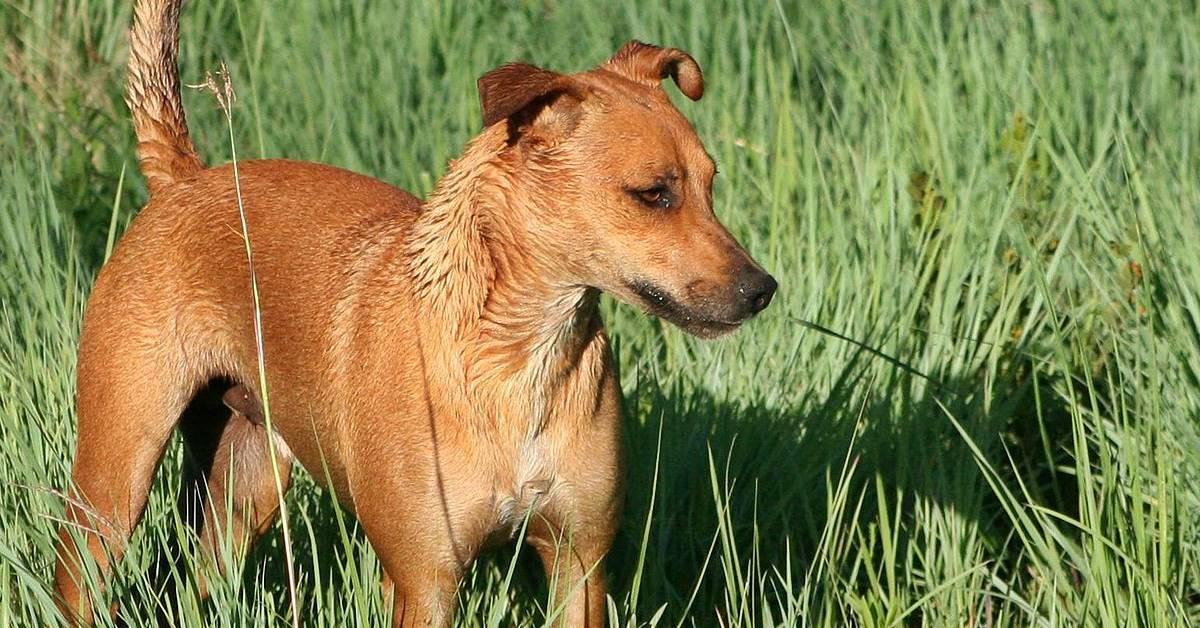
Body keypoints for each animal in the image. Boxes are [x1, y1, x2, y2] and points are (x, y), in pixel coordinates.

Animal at [51, 1, 772, 624]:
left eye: (711, 184)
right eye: (653, 194)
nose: (762, 289)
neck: (510, 358)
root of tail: (184, 181)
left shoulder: (579, 565)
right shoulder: (427, 579)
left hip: (240, 487)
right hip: (114, 481)